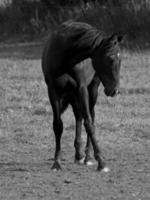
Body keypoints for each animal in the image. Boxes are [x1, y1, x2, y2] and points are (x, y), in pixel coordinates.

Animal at [41, 20, 123, 171]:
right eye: (110, 58)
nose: (115, 90)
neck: (64, 56)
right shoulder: (53, 91)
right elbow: (58, 125)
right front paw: (57, 162)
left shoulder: (82, 89)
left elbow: (89, 123)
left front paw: (101, 162)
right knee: (78, 116)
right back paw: (78, 154)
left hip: (92, 90)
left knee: (90, 116)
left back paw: (87, 157)